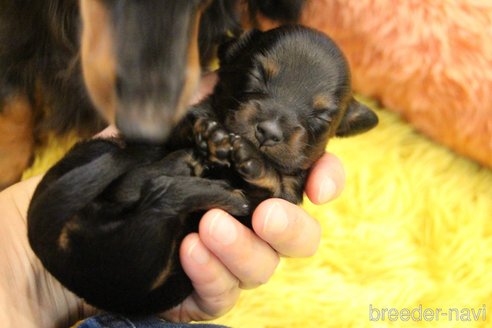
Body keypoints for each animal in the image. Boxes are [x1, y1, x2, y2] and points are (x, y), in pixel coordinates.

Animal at [27, 25, 376, 316]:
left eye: (321, 116)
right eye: (256, 75)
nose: (268, 131)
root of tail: (57, 251)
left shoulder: (282, 200)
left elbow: (276, 182)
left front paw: (251, 159)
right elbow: (185, 123)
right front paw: (206, 132)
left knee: (151, 191)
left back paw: (206, 178)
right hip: (110, 184)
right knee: (147, 187)